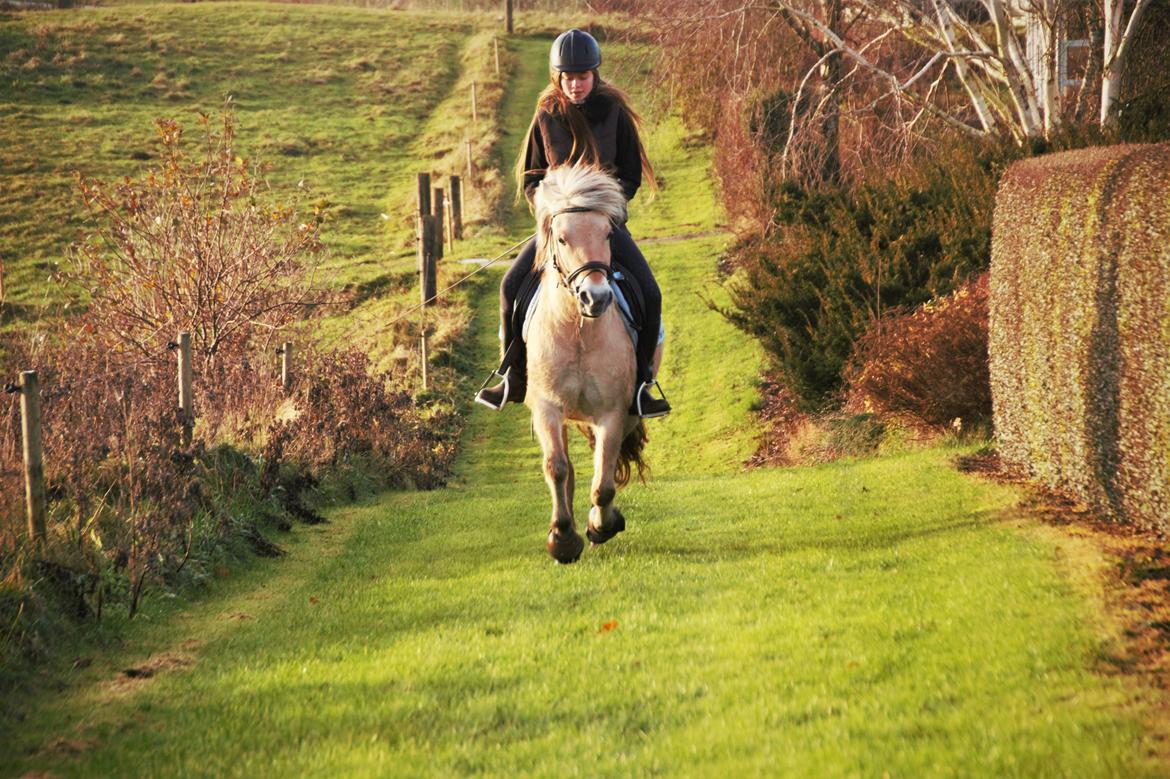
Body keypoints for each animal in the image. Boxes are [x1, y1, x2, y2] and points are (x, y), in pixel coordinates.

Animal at [528, 164, 664, 563]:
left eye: (607, 233)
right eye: (561, 238)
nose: (596, 297)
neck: (577, 330)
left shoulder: (613, 412)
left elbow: (604, 482)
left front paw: (600, 526)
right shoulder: (546, 408)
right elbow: (557, 468)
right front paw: (562, 538)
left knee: (607, 466)